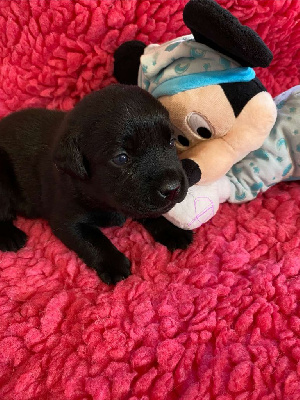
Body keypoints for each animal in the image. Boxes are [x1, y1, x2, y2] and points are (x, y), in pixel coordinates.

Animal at [0, 84, 192, 284]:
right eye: (121, 158)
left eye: (171, 142)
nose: (172, 188)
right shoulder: (66, 218)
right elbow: (92, 239)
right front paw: (114, 263)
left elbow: (152, 212)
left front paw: (172, 230)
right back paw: (9, 235)